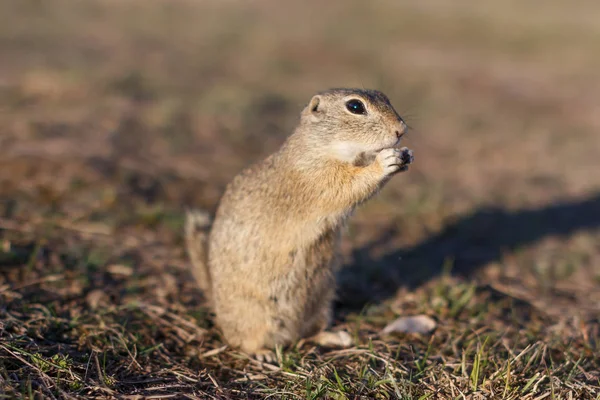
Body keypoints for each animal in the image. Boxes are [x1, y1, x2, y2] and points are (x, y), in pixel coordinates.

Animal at [186, 88, 412, 362]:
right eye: (355, 107)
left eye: (384, 97)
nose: (401, 130)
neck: (319, 146)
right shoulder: (317, 177)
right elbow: (348, 185)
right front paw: (386, 161)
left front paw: (405, 156)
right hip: (253, 316)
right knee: (241, 341)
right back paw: (263, 353)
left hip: (321, 304)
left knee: (307, 334)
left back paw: (335, 337)